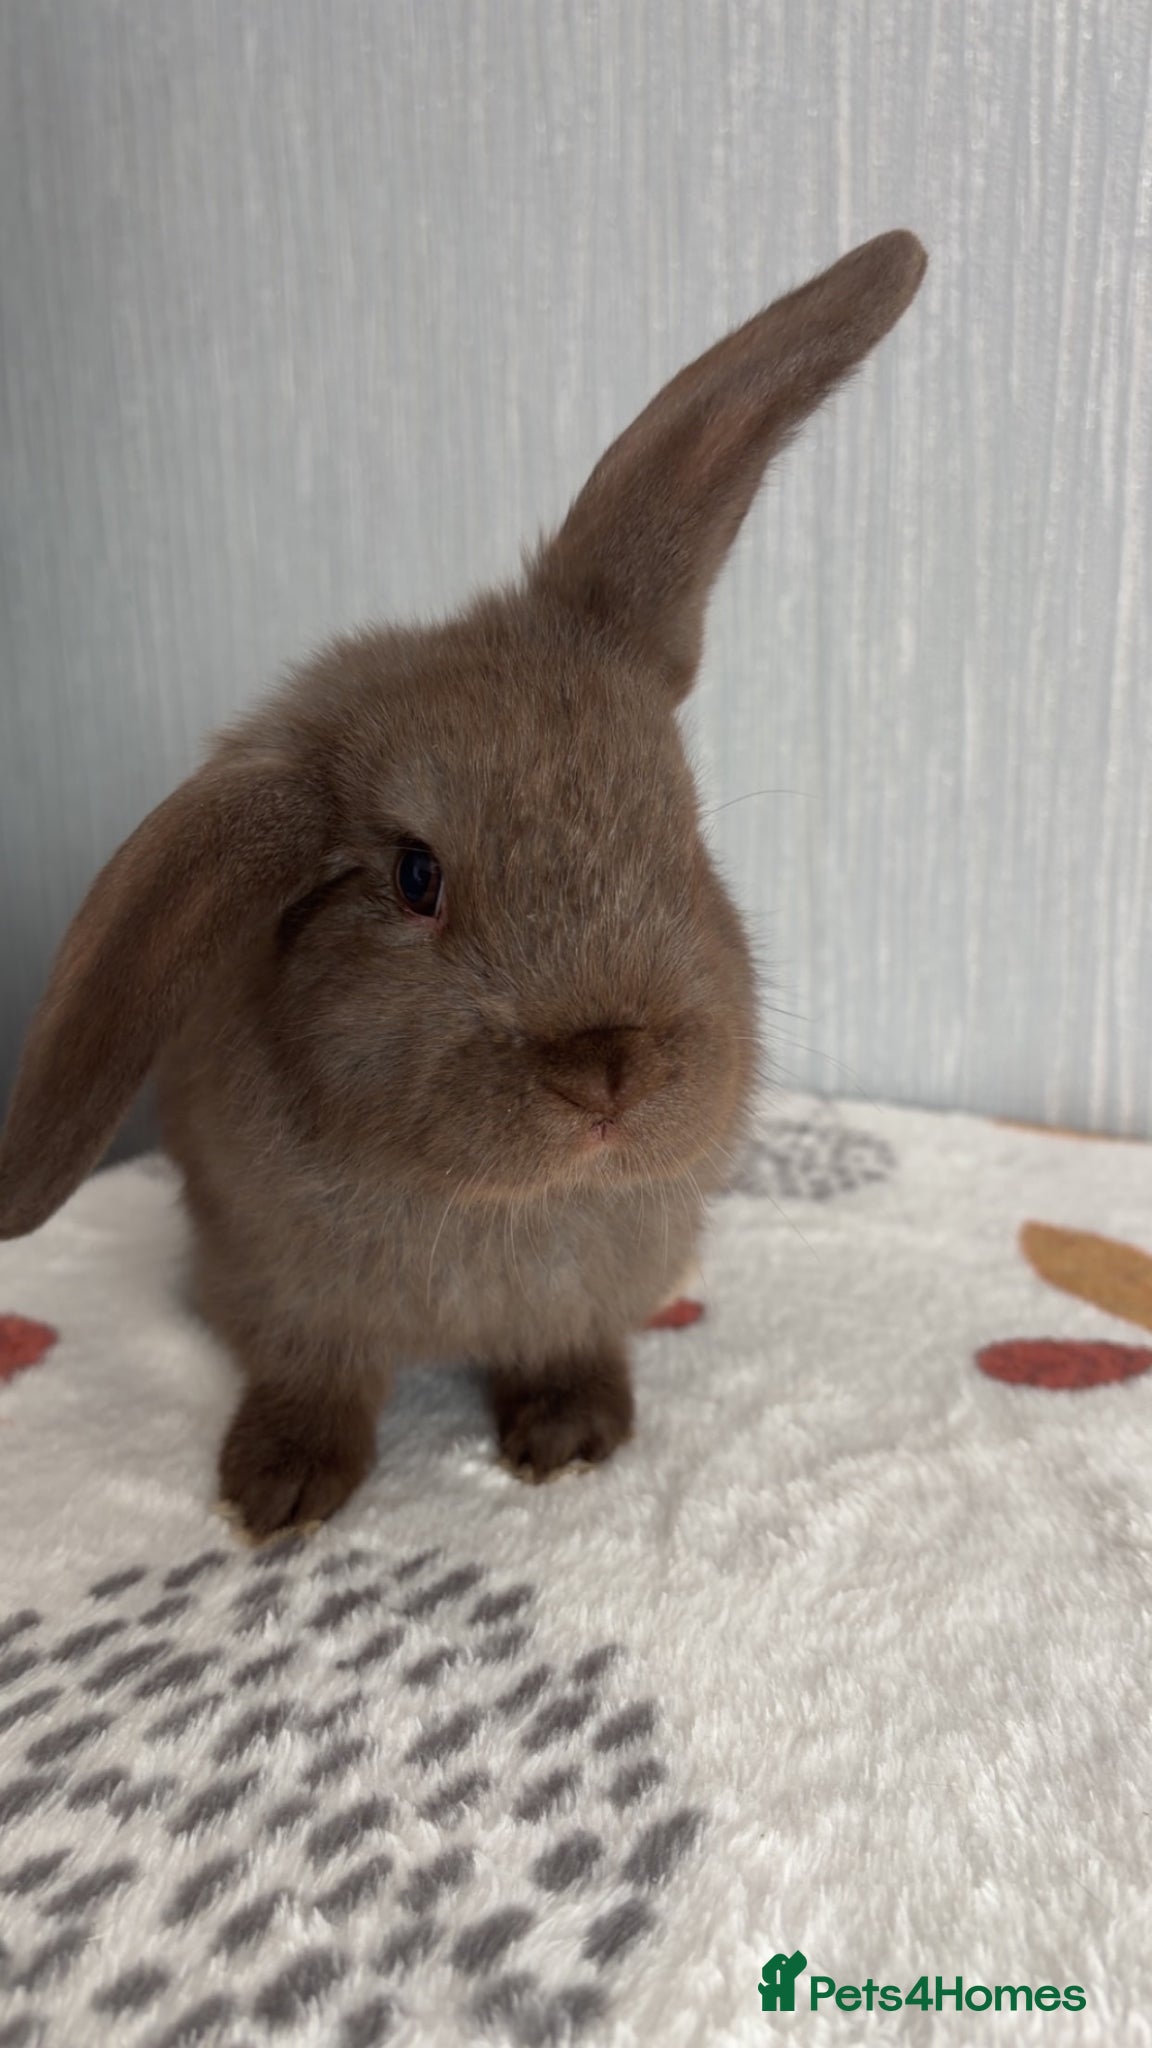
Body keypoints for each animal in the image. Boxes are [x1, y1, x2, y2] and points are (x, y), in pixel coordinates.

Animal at [0, 231, 926, 1539]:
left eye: (681, 826)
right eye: (415, 875)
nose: (608, 1071)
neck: (502, 1204)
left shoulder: (584, 1294)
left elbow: (565, 1345)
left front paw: (574, 1440)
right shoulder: (284, 1286)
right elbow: (315, 1371)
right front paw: (276, 1492)